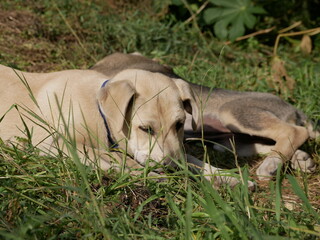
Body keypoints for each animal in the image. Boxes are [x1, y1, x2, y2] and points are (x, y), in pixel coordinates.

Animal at [91, 52, 318, 180]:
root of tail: (296, 110)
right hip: (230, 142)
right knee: (273, 143)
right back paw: (299, 160)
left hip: (233, 113)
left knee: (296, 132)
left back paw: (271, 165)